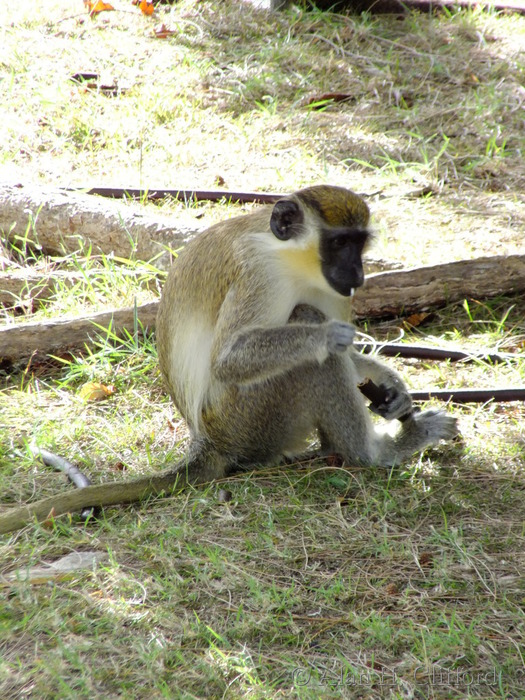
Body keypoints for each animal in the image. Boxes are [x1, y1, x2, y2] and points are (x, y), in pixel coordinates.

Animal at [0, 185, 457, 534]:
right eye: (339, 242)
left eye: (359, 243)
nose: (359, 273)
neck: (292, 260)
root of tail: (209, 442)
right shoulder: (258, 274)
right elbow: (229, 360)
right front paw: (330, 336)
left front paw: (390, 384)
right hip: (248, 419)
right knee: (309, 340)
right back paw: (376, 453)